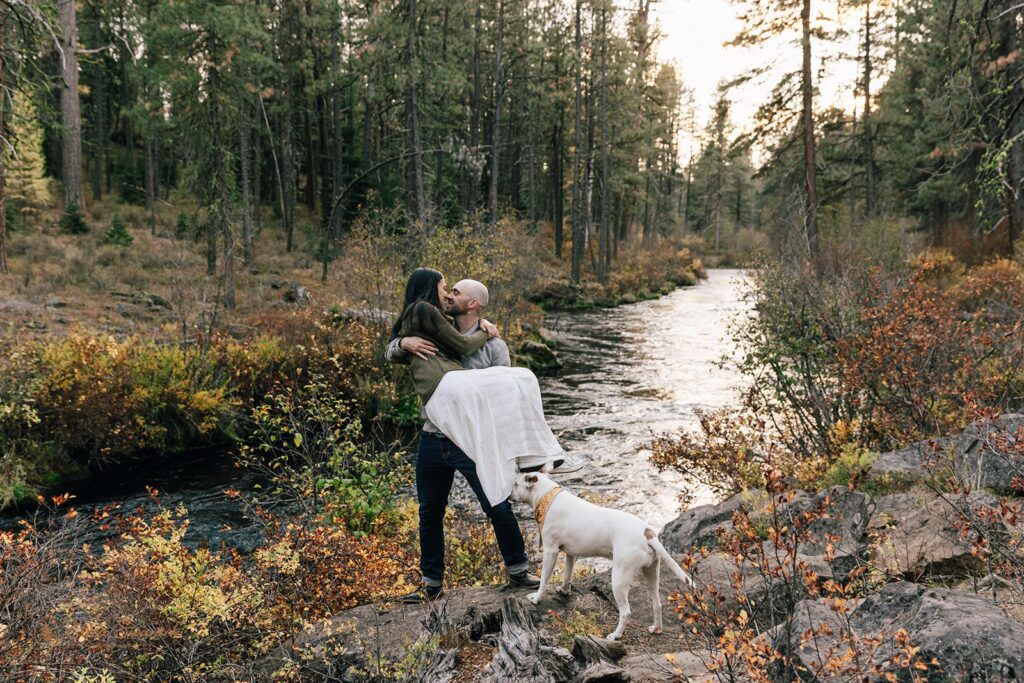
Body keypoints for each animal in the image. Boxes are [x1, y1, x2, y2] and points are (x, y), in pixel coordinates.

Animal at [512, 471, 696, 643]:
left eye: (515, 484)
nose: (507, 495)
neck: (546, 495)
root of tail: (647, 533)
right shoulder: (571, 554)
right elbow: (567, 575)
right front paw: (564, 590)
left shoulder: (550, 551)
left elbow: (544, 580)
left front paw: (536, 598)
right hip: (651, 573)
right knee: (657, 604)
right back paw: (656, 629)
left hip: (619, 579)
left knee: (625, 611)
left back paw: (616, 635)